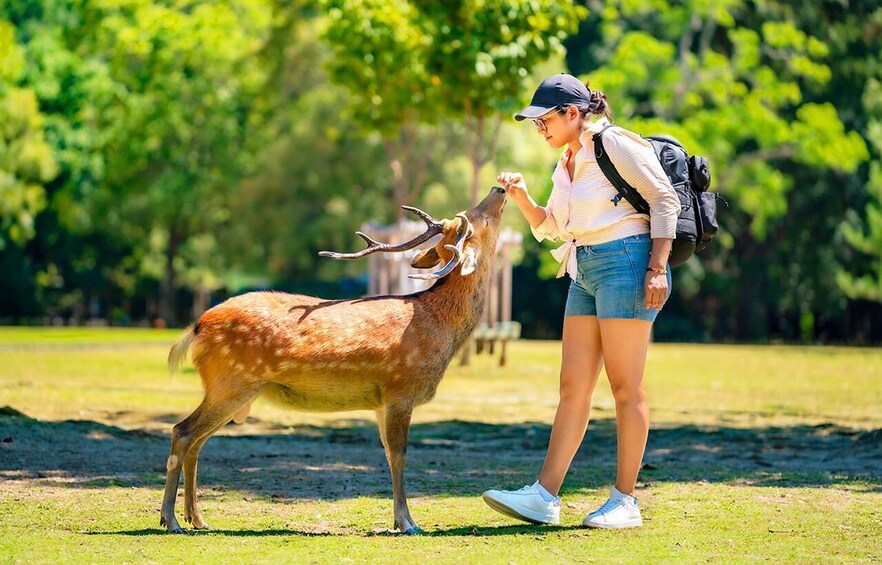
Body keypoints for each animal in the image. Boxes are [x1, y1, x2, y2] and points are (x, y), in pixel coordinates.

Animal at [159, 185, 508, 534]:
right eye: (477, 219)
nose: (500, 187)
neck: (438, 328)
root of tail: (196, 327)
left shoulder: (381, 401)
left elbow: (387, 454)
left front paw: (400, 520)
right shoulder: (400, 389)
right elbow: (399, 455)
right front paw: (407, 522)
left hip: (233, 391)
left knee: (197, 442)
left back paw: (197, 518)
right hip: (230, 383)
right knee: (182, 432)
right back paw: (171, 519)